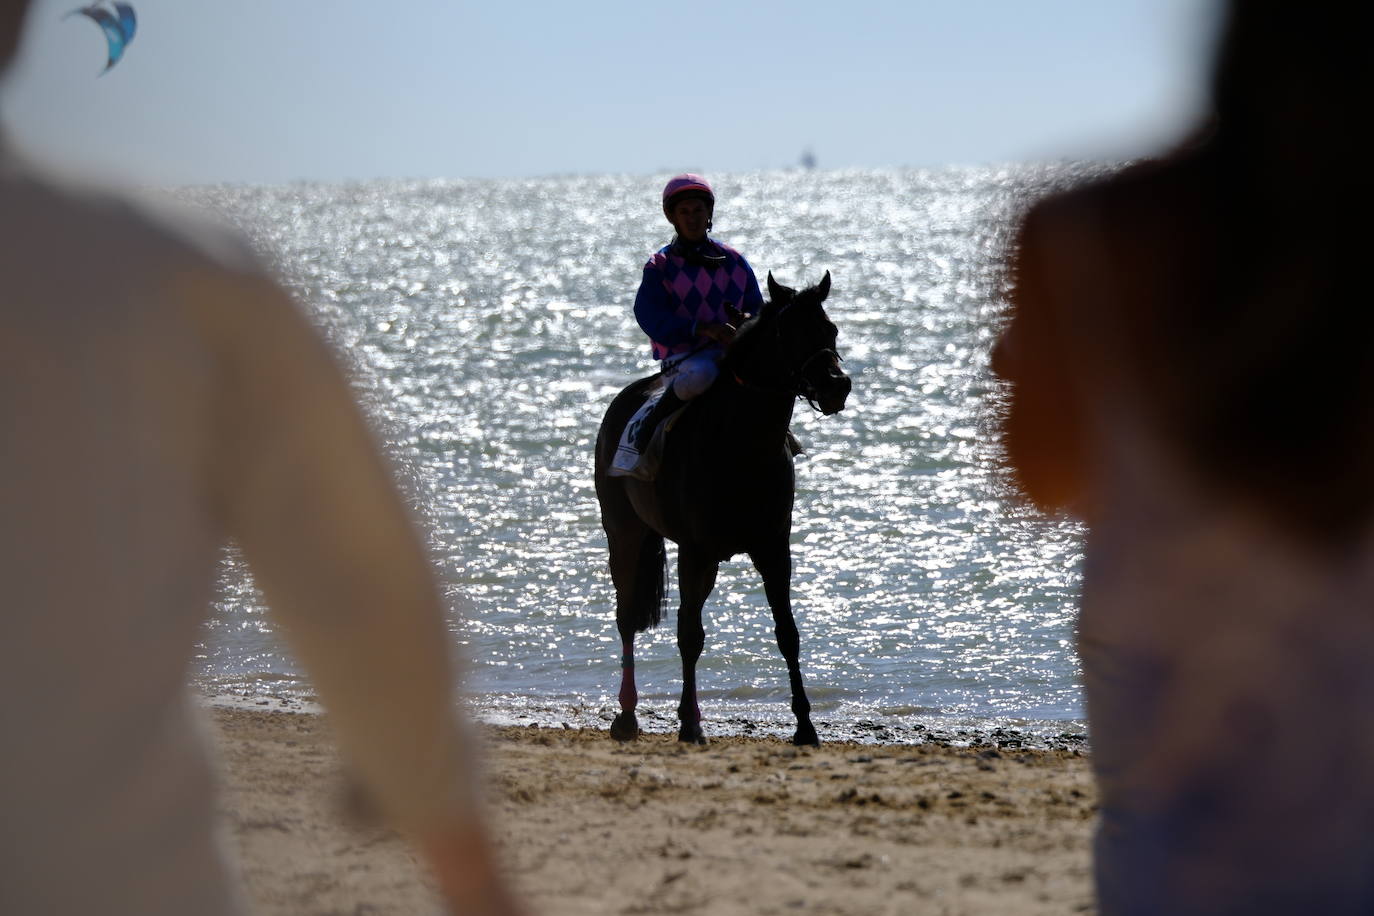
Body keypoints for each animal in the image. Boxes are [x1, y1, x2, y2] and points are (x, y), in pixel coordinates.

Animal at [590, 271, 846, 747]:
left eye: (831, 329)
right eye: (790, 332)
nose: (837, 385)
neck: (741, 446)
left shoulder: (773, 548)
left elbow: (788, 634)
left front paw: (805, 725)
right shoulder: (695, 550)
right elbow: (690, 635)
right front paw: (690, 726)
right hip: (624, 531)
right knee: (627, 615)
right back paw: (628, 715)